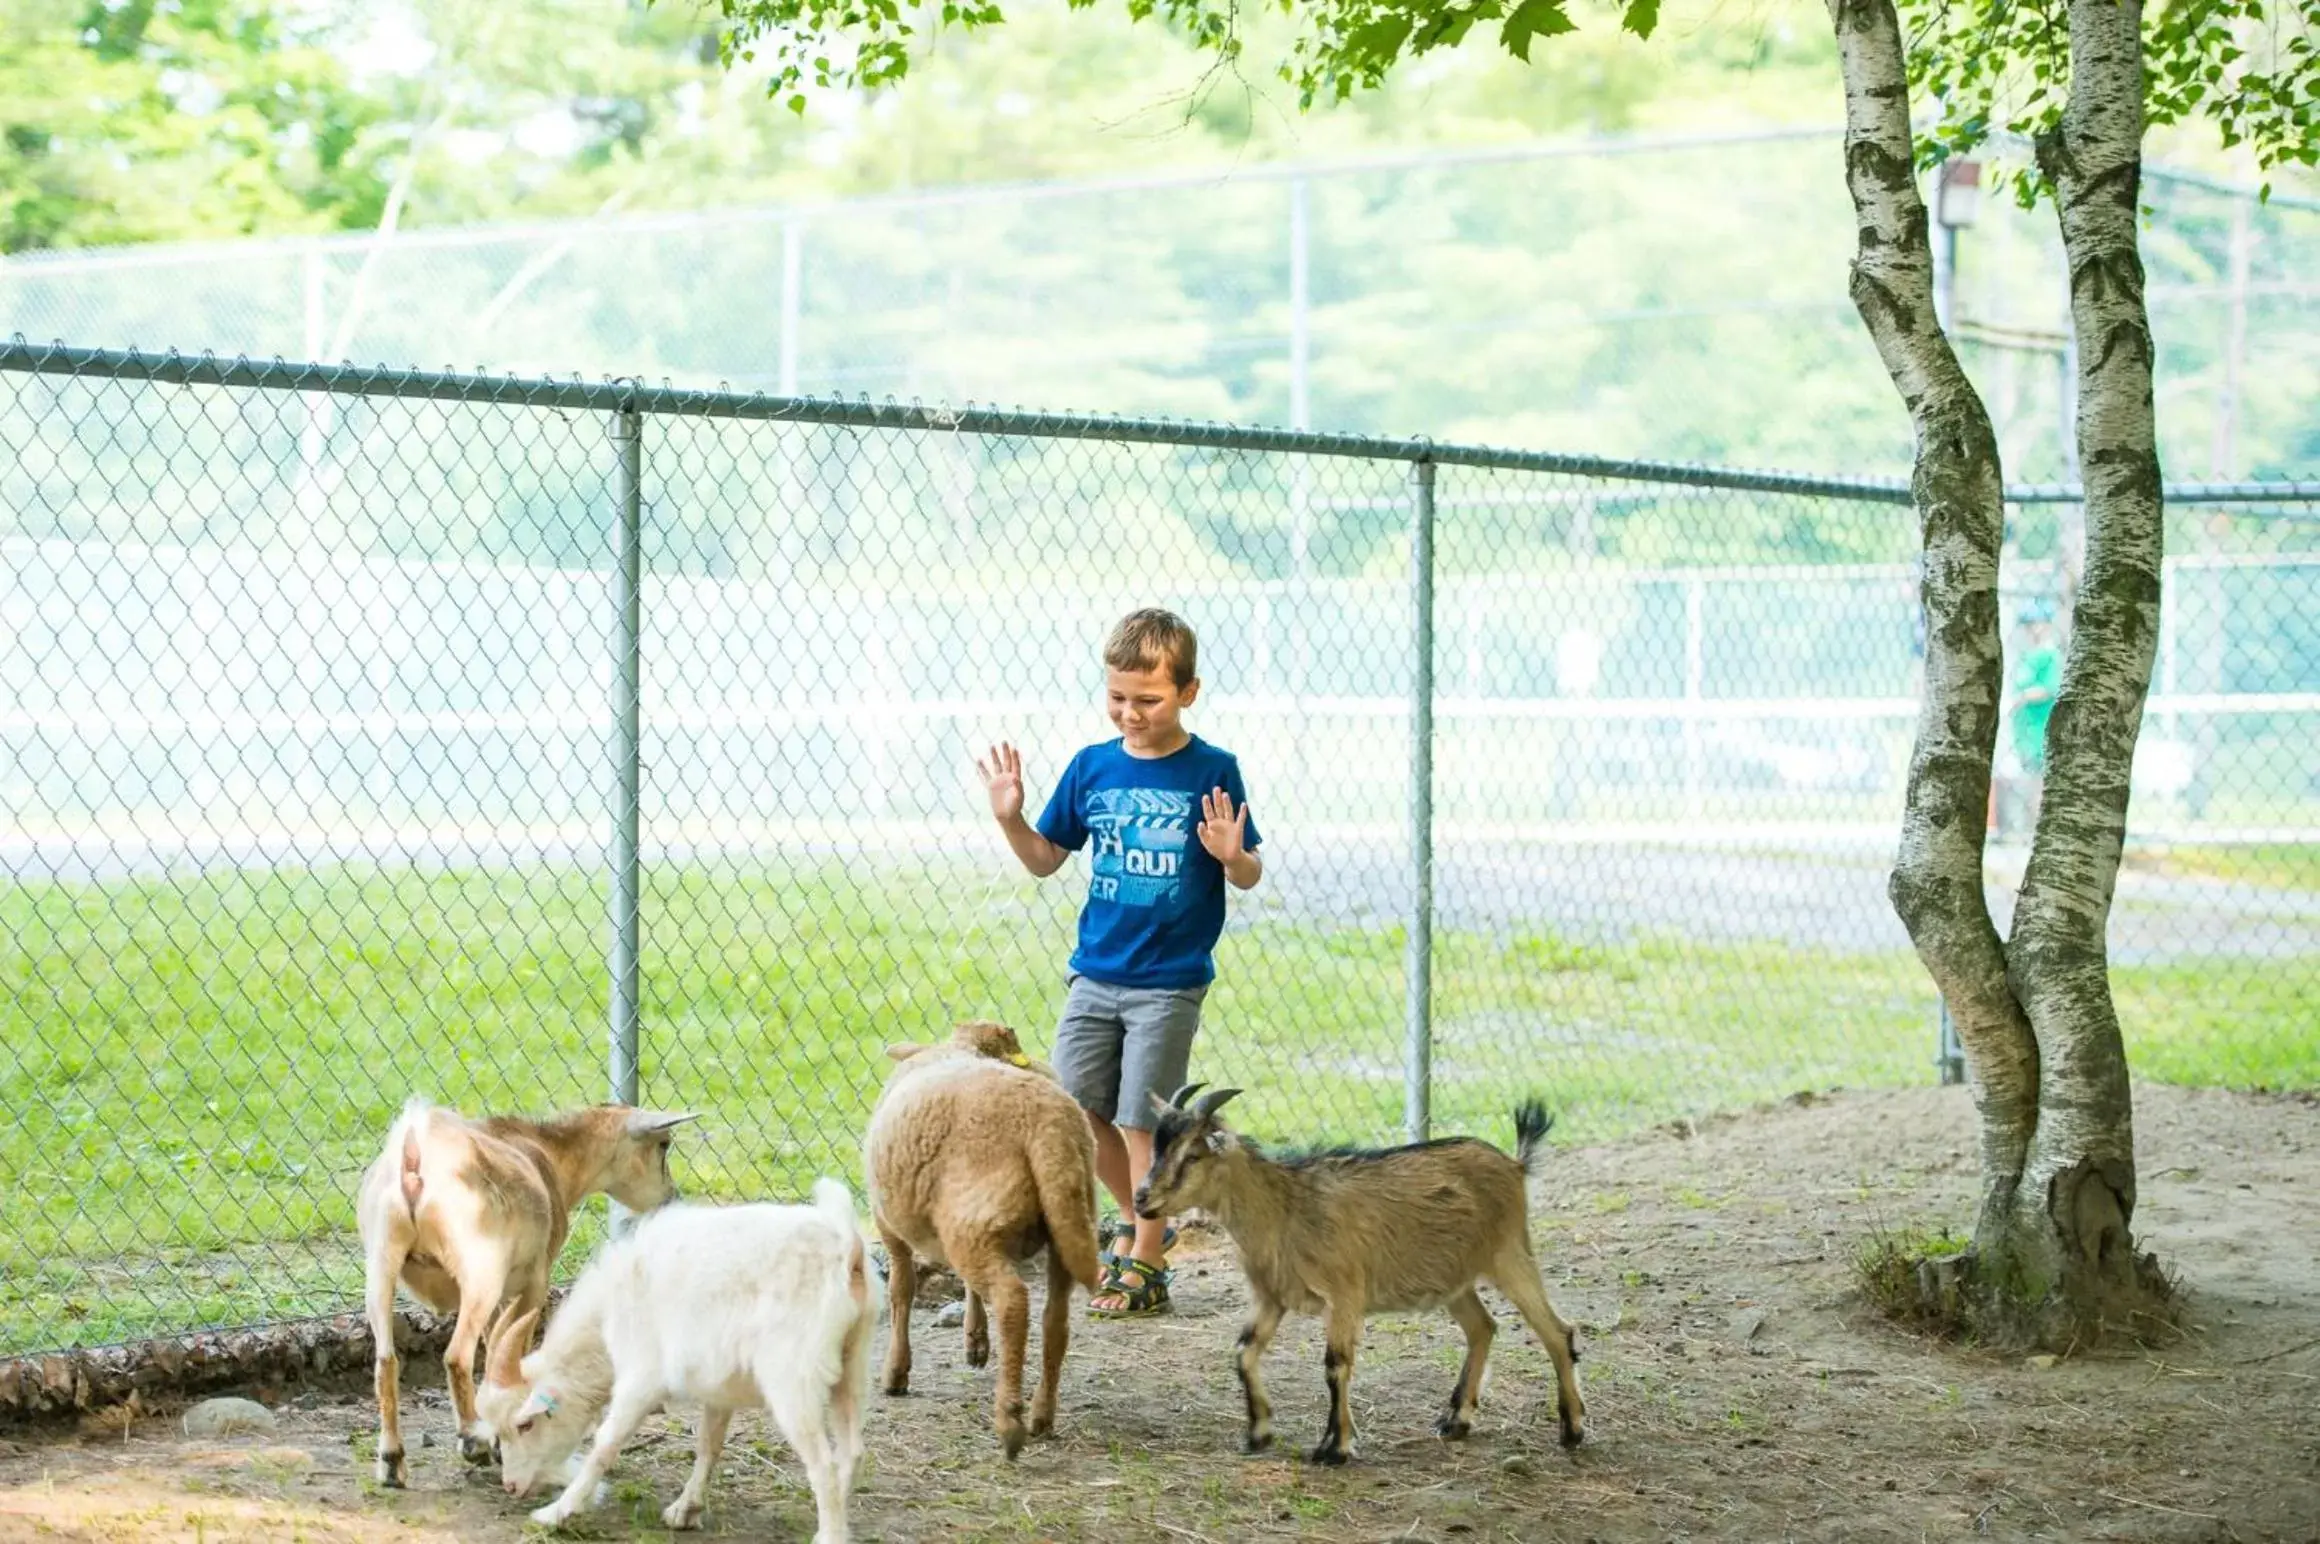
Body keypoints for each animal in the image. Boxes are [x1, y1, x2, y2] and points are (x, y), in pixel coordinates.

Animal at [352, 1094, 691, 1483]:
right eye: (663, 1145)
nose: (672, 1198)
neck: (548, 1156)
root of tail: (413, 1156)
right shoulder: (534, 1281)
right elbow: (514, 1348)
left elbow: (495, 1346)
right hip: (480, 1272)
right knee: (456, 1356)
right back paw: (473, 1441)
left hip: (381, 1266)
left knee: (386, 1361)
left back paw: (392, 1462)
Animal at [872, 1015, 1104, 1446]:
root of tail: (1047, 1127)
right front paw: (975, 1342)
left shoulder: (887, 1222)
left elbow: (900, 1290)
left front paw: (896, 1373)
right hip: (1062, 1222)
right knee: (1055, 1319)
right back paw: (1042, 1415)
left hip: (978, 1223)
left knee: (1013, 1302)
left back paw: (1010, 1420)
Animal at [1132, 1075, 1586, 1465]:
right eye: (1157, 1149)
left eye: (1193, 1155)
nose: (1142, 1199)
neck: (1284, 1209)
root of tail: (1515, 1165)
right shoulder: (1272, 1297)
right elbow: (1244, 1351)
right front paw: (1258, 1433)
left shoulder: (1344, 1296)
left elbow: (1335, 1365)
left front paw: (1335, 1447)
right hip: (1455, 1280)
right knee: (1482, 1327)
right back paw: (1456, 1421)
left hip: (1509, 1256)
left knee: (1555, 1331)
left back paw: (1573, 1428)